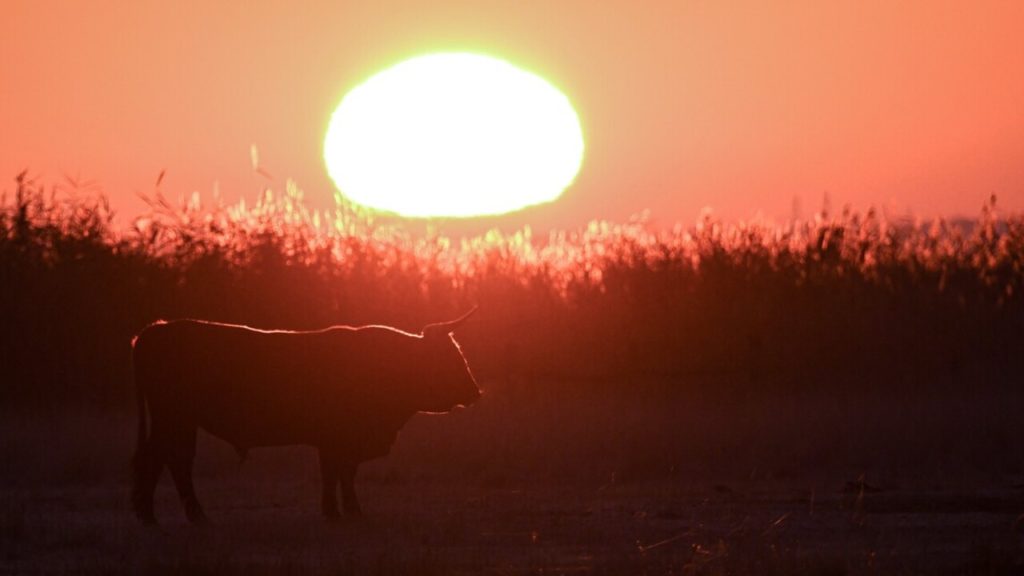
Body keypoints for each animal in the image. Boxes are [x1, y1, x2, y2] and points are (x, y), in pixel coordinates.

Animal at [130, 307, 477, 522]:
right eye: (450, 357)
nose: (475, 391)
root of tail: (156, 329)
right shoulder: (338, 439)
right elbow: (338, 473)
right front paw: (341, 512)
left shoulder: (338, 441)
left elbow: (339, 474)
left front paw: (343, 511)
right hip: (175, 418)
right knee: (171, 460)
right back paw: (185, 515)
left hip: (175, 421)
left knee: (162, 459)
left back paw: (152, 515)